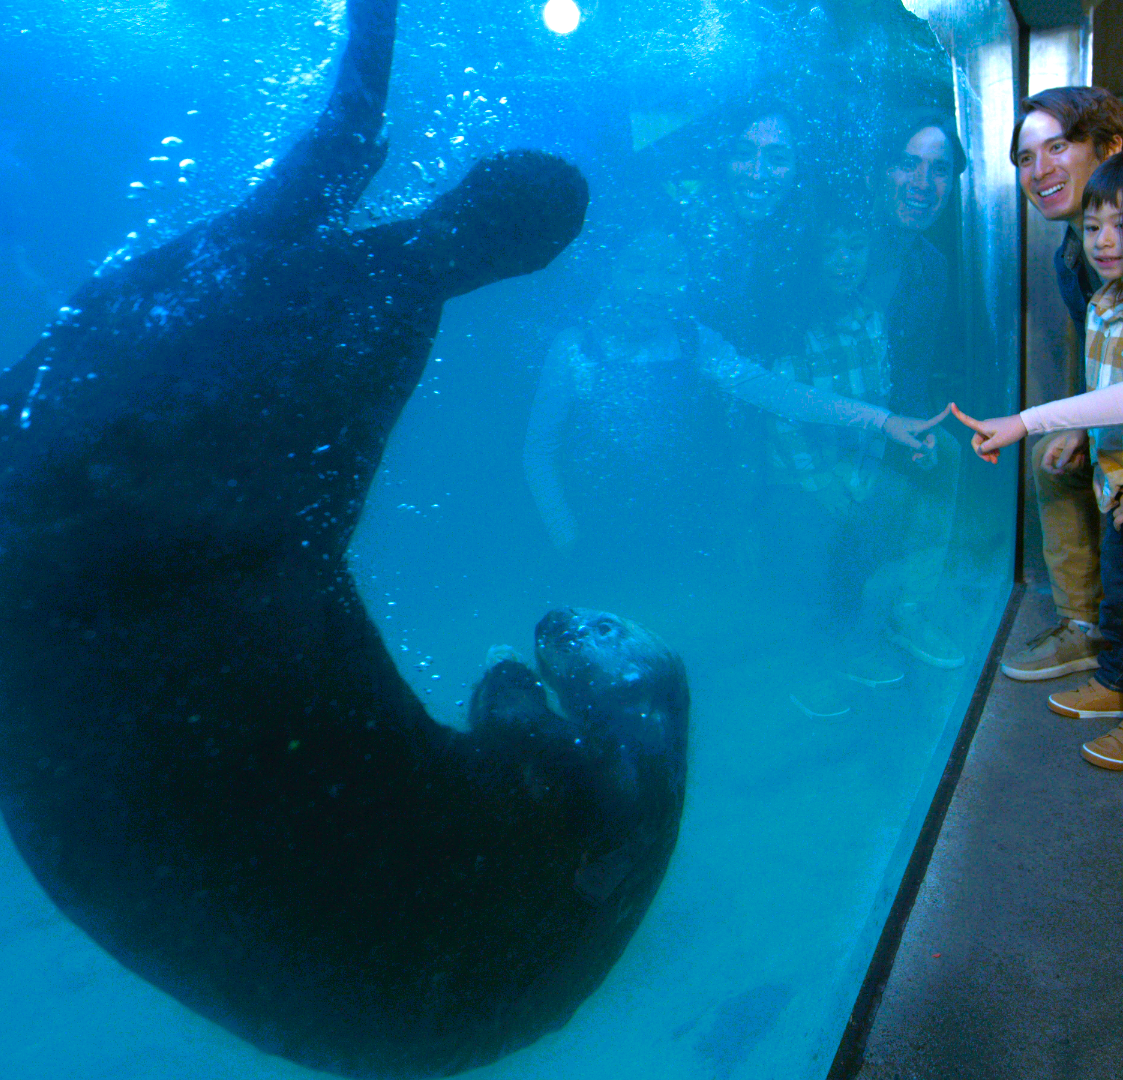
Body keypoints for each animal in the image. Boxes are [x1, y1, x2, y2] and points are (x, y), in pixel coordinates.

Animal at [0, 1, 688, 1077]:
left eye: (606, 627)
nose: (555, 615)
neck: (644, 797)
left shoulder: (597, 811)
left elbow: (524, 738)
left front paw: (503, 678)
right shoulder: (601, 801)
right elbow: (533, 739)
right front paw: (509, 677)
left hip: (223, 373)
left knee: (358, 215)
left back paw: (517, 192)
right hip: (232, 363)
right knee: (348, 204)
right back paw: (516, 183)